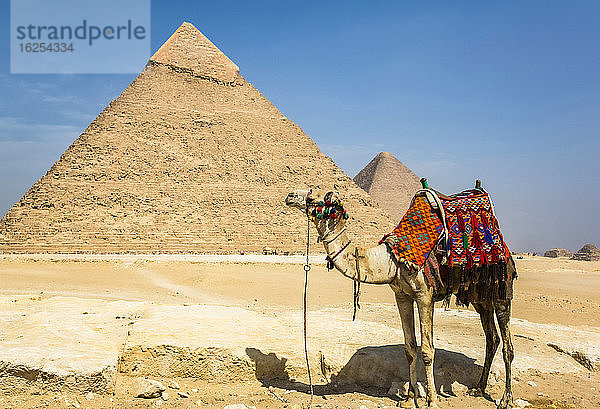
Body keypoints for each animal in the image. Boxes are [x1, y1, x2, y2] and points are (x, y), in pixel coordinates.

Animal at [284, 190, 516, 406]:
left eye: (314, 198)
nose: (290, 196)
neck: (391, 260)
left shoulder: (424, 296)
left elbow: (427, 350)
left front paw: (431, 400)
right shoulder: (402, 296)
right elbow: (410, 348)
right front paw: (409, 398)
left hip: (502, 290)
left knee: (507, 346)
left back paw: (506, 398)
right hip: (480, 297)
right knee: (492, 338)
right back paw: (478, 388)